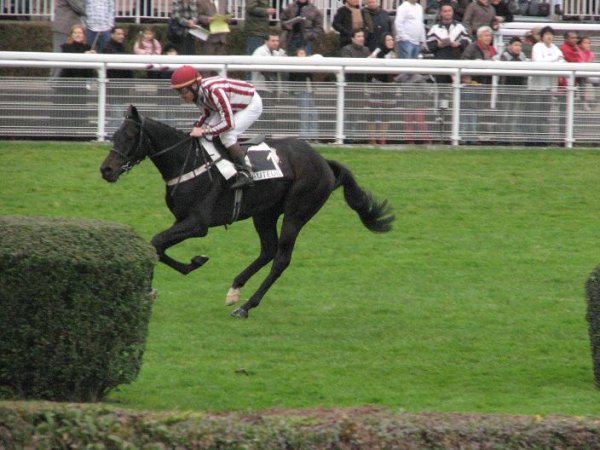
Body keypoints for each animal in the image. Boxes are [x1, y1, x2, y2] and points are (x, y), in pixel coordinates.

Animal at [101, 105, 396, 318]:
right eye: (114, 135)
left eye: (129, 137)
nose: (106, 170)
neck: (188, 162)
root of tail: (323, 161)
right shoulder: (182, 220)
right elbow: (158, 247)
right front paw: (184, 269)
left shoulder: (198, 223)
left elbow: (156, 243)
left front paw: (171, 276)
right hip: (264, 213)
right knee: (268, 250)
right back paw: (235, 289)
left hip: (297, 212)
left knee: (281, 258)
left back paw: (245, 306)